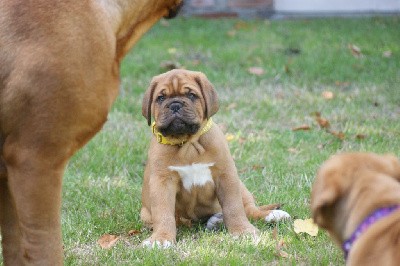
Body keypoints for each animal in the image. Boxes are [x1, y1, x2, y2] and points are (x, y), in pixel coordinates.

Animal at [139, 69, 290, 247]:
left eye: (191, 95)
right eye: (160, 98)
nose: (175, 105)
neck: (188, 144)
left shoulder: (225, 175)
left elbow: (234, 206)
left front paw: (242, 231)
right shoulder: (162, 181)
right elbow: (163, 213)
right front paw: (161, 239)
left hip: (241, 187)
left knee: (249, 209)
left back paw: (270, 215)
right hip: (145, 214)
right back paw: (216, 220)